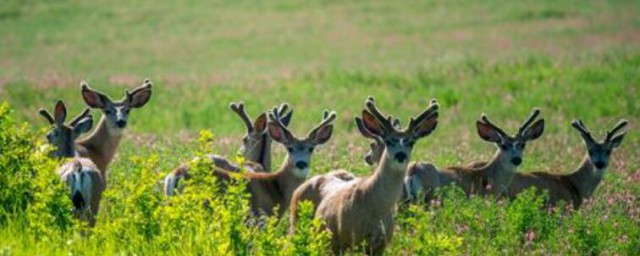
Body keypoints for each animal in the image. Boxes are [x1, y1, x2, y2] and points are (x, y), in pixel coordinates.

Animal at [292, 96, 440, 254]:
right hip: (298, 225)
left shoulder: (382, 244)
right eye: (389, 141)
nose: (400, 155)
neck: (377, 207)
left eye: (411, 142)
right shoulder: (351, 238)